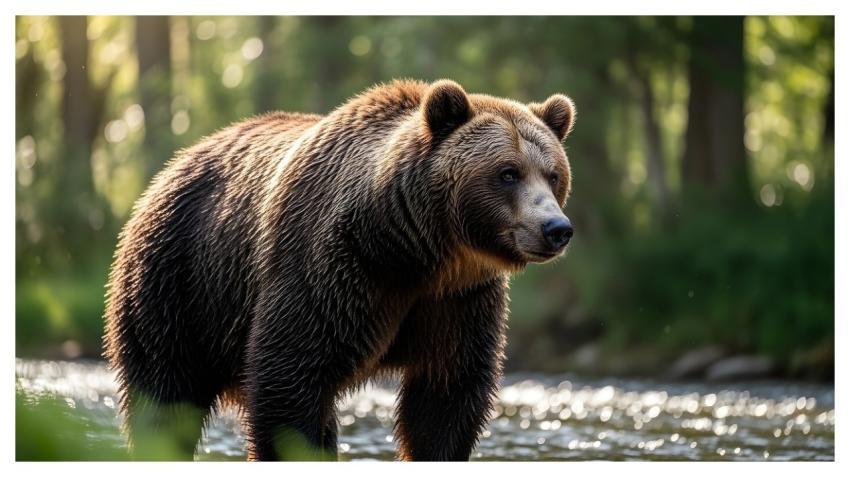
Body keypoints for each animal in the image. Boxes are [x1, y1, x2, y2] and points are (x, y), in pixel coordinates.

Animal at [104, 79, 576, 461]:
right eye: (508, 172)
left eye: (552, 174)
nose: (556, 229)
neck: (415, 249)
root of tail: (174, 165)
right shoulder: (334, 270)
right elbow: (290, 378)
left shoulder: (458, 299)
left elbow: (447, 394)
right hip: (178, 285)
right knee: (164, 398)